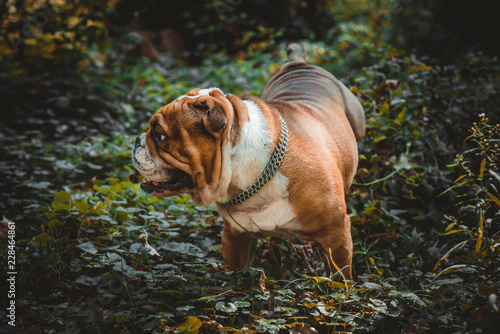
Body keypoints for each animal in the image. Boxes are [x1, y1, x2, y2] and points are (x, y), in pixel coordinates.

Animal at [131, 44, 366, 280]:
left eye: (159, 135)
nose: (136, 140)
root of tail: (298, 64)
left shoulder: (335, 235)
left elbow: (339, 276)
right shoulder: (235, 236)